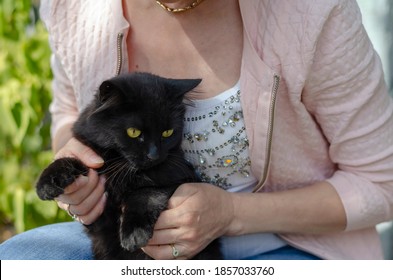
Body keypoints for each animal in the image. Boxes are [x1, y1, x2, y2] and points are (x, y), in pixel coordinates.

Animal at [34, 72, 220, 260]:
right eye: (133, 132)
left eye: (167, 132)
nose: (154, 155)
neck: (121, 171)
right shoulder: (98, 217)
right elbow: (71, 161)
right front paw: (46, 184)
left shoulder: (178, 178)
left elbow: (146, 193)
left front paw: (134, 234)